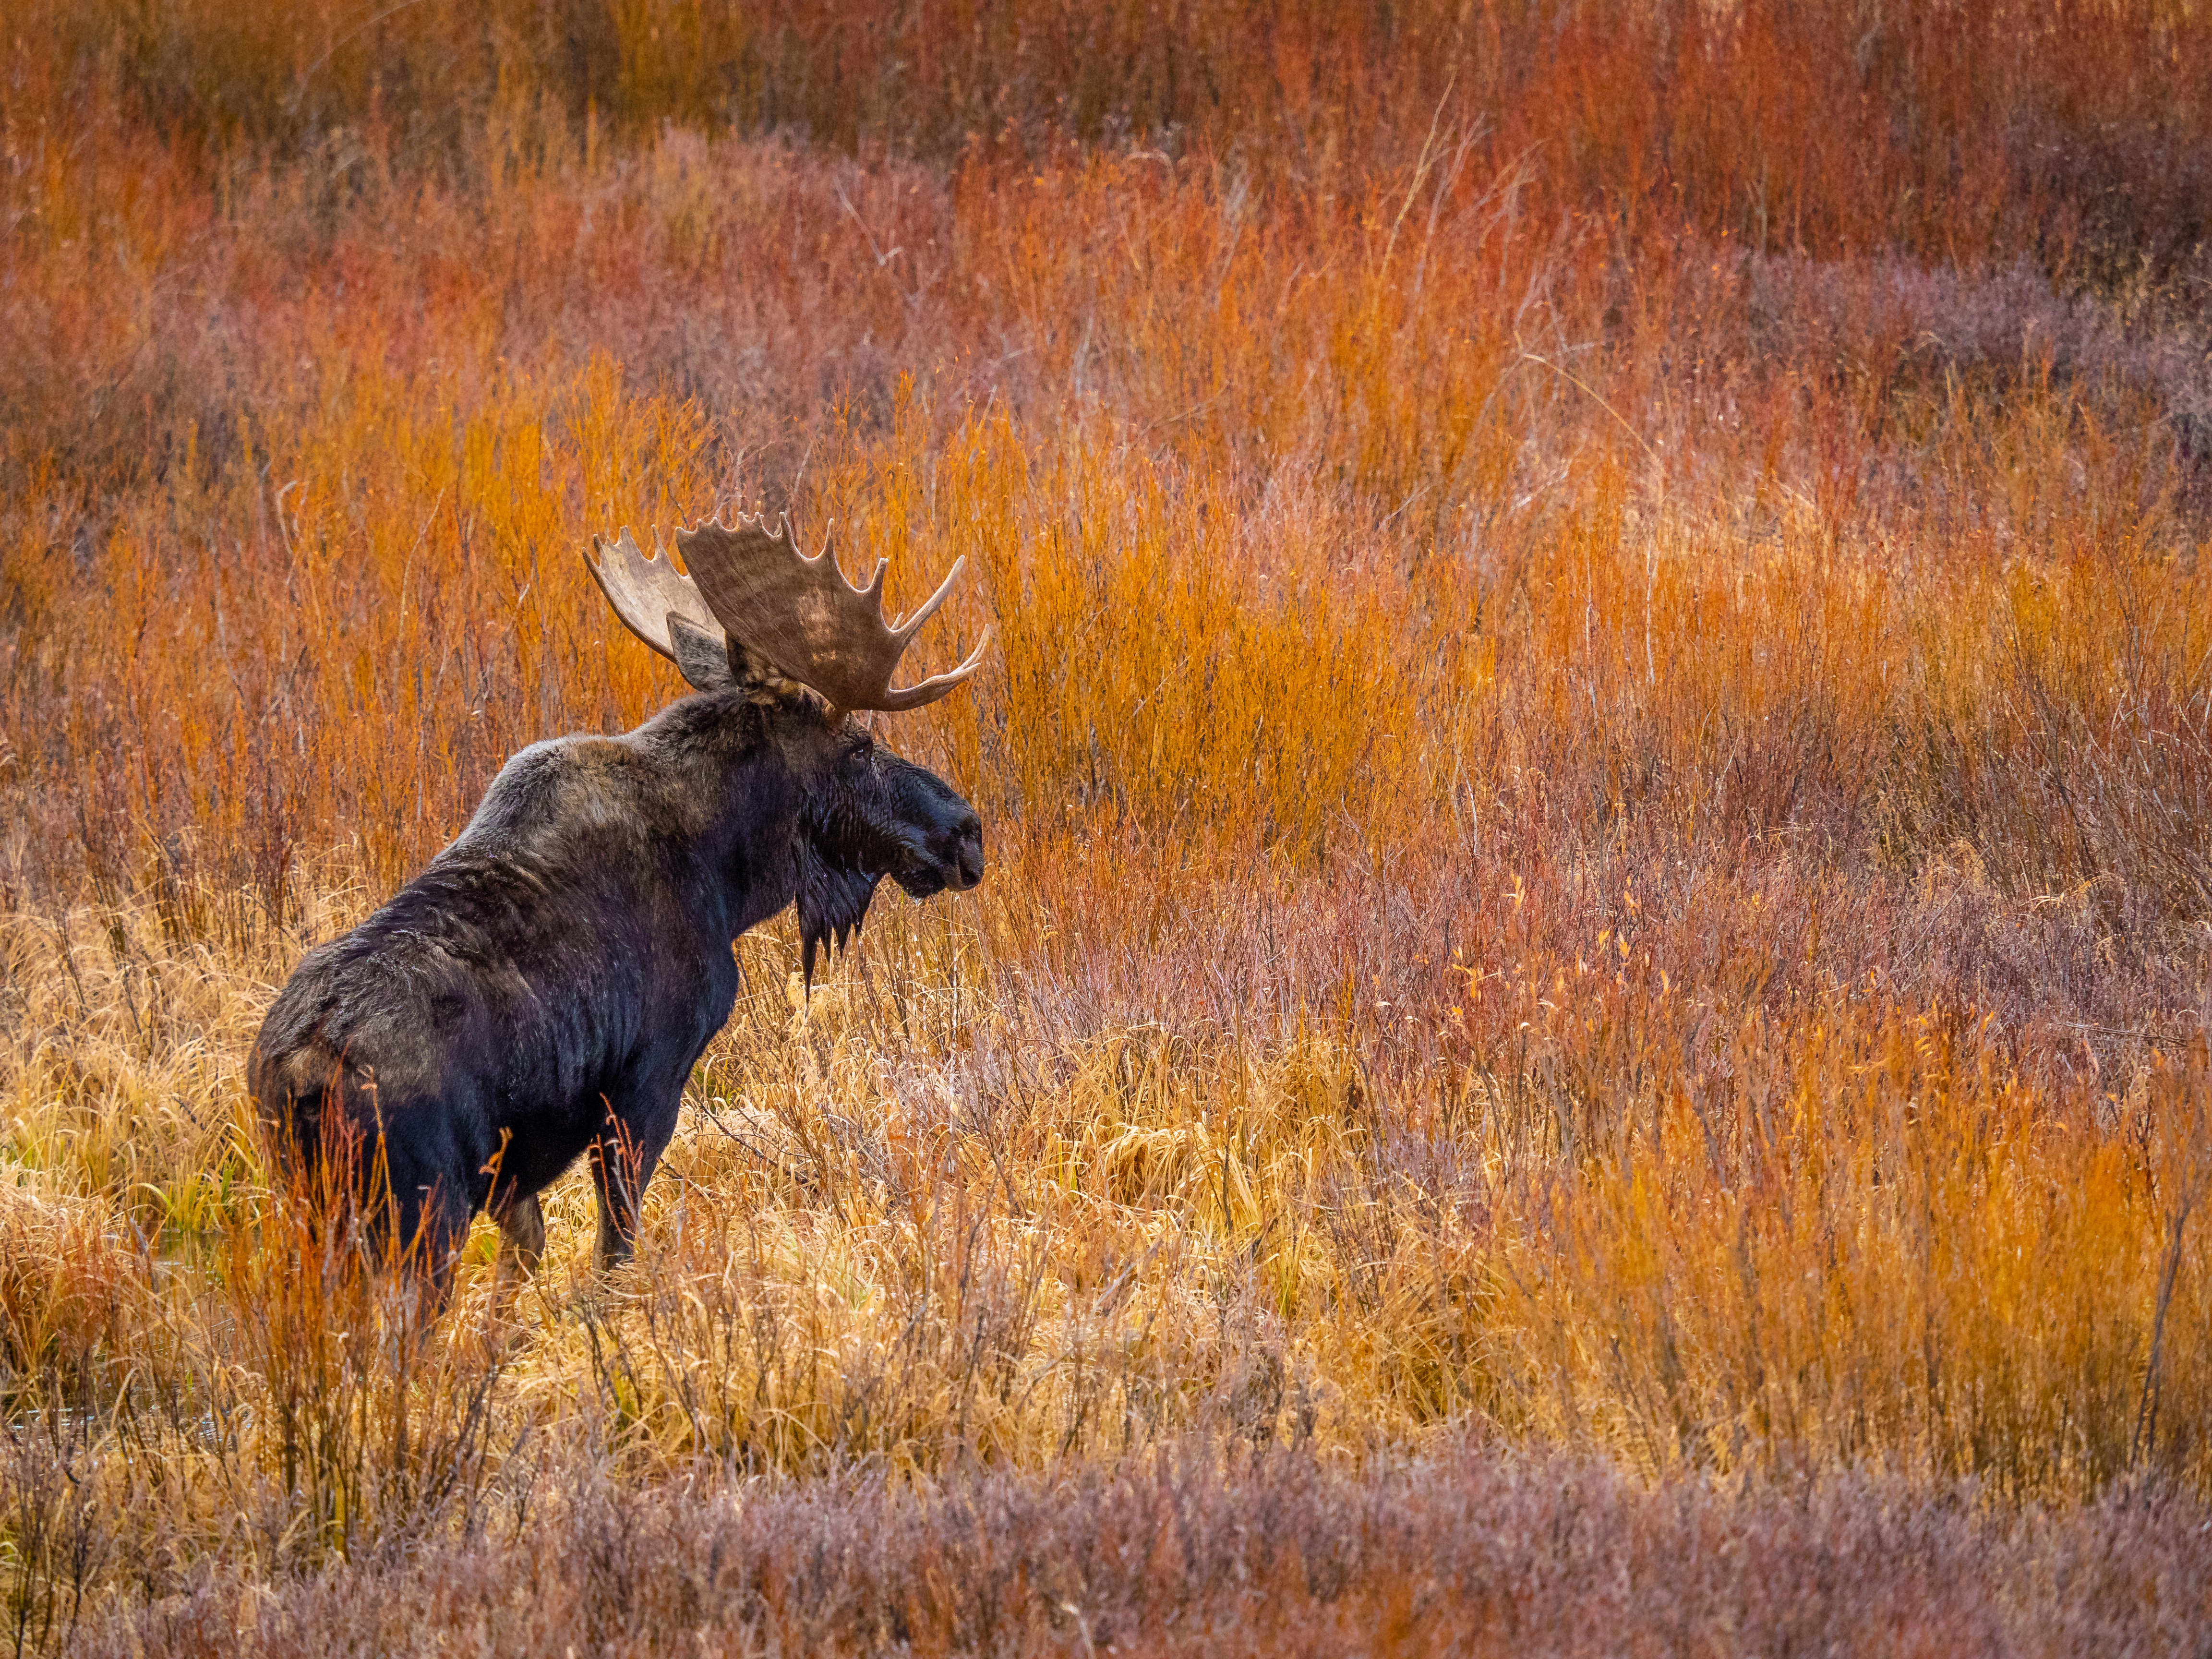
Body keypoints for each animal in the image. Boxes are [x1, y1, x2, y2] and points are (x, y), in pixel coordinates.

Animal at [247, 515, 987, 1287]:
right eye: (859, 746)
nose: (965, 831)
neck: (731, 878)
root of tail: (298, 1077)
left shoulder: (517, 1171)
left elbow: (527, 1253)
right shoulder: (649, 1081)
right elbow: (614, 1254)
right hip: (418, 1216)